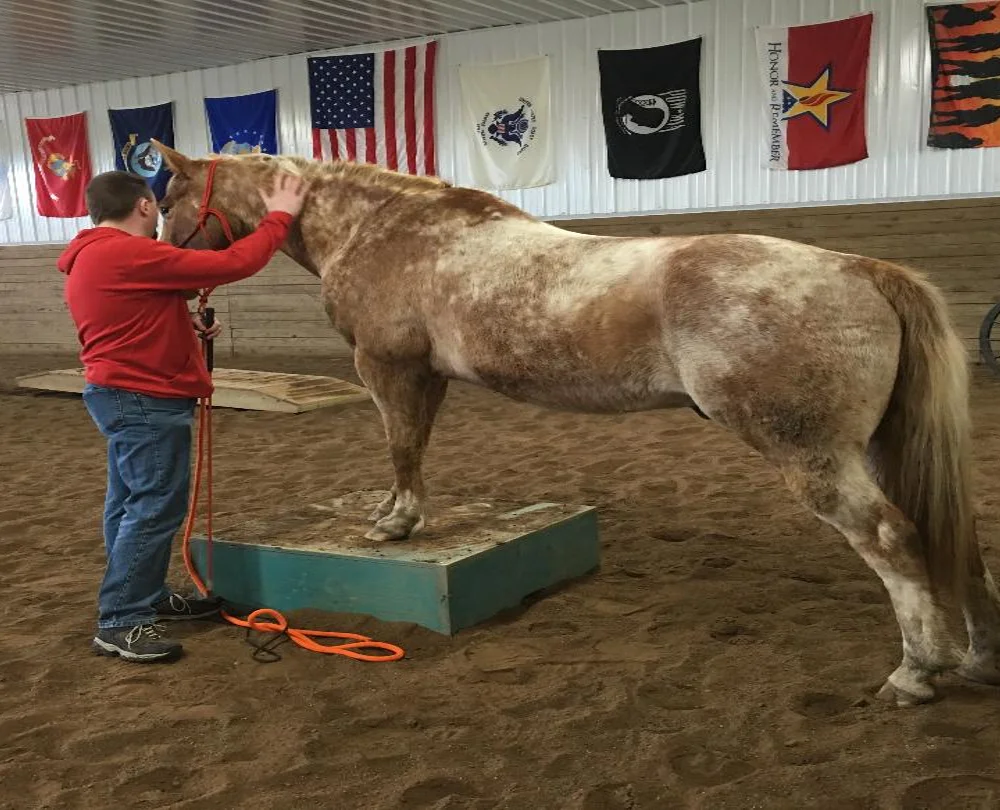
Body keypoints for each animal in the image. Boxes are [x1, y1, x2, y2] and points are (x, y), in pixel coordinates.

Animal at [150, 141, 1000, 707]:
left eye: (168, 199)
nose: (157, 265)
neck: (393, 230)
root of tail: (861, 269)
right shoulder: (425, 377)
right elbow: (415, 445)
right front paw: (401, 515)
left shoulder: (388, 368)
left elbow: (400, 444)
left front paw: (394, 524)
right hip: (881, 448)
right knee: (953, 538)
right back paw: (977, 658)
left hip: (813, 455)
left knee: (893, 540)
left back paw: (915, 673)